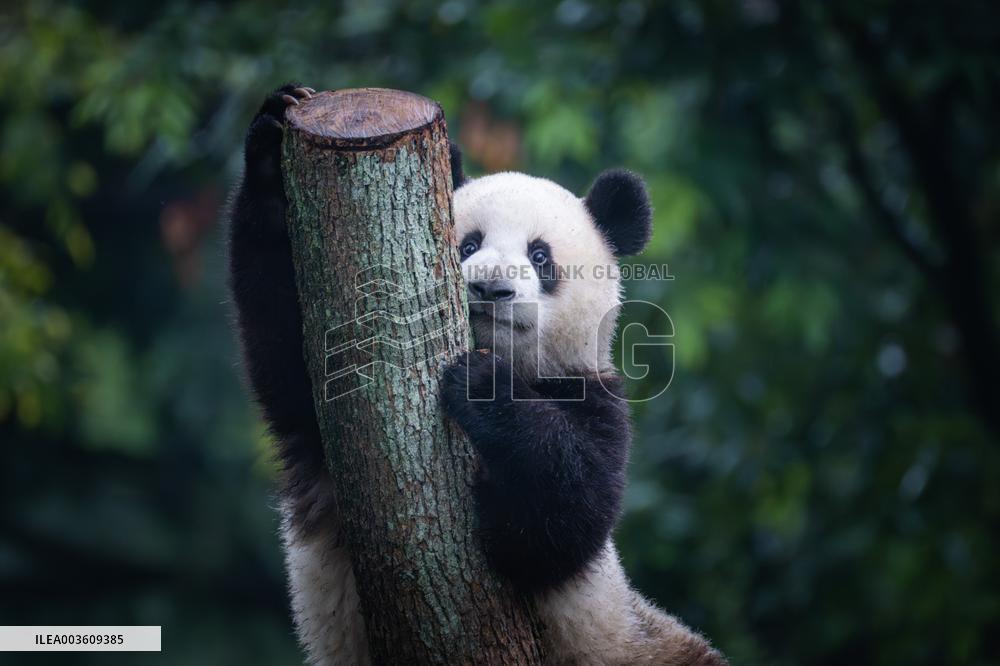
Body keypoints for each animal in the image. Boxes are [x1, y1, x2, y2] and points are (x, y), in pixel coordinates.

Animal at [229, 84, 725, 666]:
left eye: (540, 256)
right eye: (467, 244)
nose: (491, 288)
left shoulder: (596, 398)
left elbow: (563, 522)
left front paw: (484, 388)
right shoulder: (315, 424)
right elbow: (285, 344)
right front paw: (272, 132)